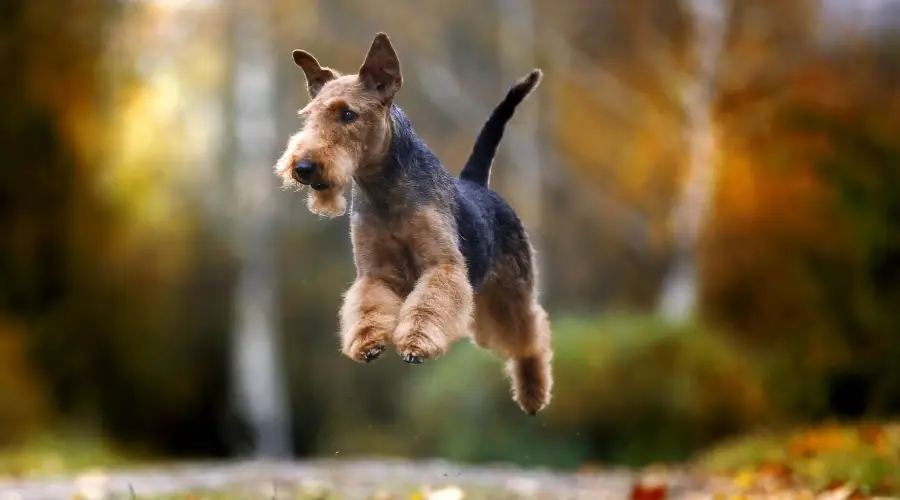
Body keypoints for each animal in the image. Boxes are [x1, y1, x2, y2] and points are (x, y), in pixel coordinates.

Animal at [274, 32, 552, 414]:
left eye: (348, 114)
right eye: (309, 116)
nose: (303, 167)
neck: (385, 192)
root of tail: (478, 184)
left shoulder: (441, 266)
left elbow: (428, 306)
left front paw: (416, 343)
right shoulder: (374, 273)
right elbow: (367, 306)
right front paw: (368, 343)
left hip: (513, 292)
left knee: (530, 337)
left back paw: (533, 393)